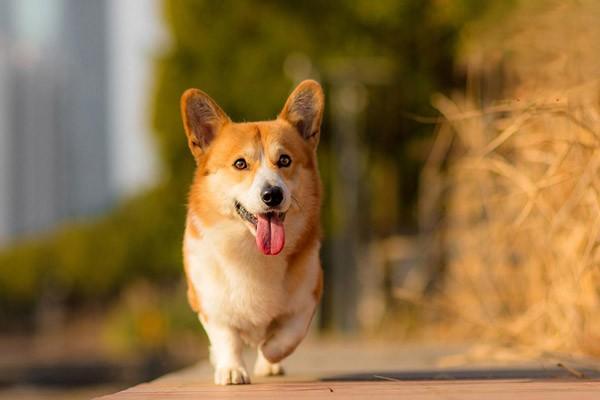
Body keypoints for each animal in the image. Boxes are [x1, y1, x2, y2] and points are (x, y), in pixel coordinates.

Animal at [180, 80, 326, 384]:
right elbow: (226, 338)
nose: (272, 195)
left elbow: (287, 336)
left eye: (284, 160)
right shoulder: (208, 303)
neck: (252, 249)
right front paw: (231, 370)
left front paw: (269, 353)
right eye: (240, 164)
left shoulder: (309, 296)